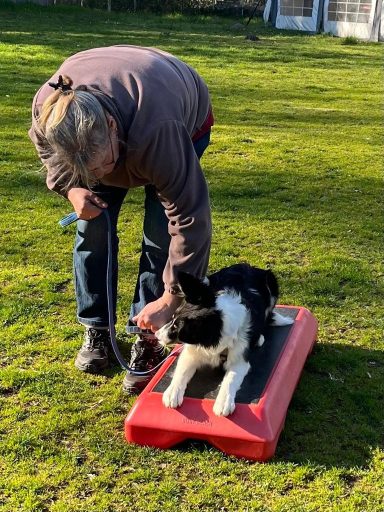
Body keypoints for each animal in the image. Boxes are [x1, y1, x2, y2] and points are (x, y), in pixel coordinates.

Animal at [154, 264, 292, 416]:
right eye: (172, 318)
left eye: (175, 328)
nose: (156, 334)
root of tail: (248, 266)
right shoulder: (192, 353)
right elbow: (181, 371)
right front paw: (172, 392)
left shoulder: (240, 360)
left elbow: (230, 379)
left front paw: (223, 402)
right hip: (208, 280)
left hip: (271, 282)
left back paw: (259, 338)